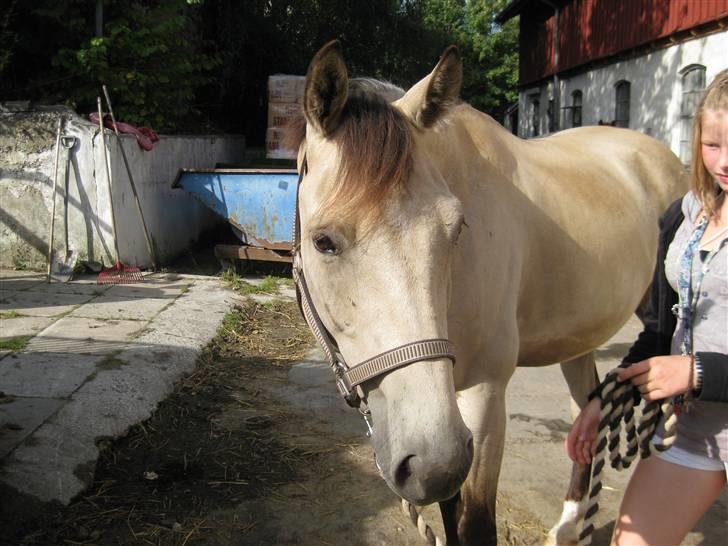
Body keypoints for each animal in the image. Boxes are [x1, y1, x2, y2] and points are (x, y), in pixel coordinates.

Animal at [286, 39, 688, 544]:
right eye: (324, 241)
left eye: (456, 229)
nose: (430, 463)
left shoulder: (484, 397)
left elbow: (475, 522)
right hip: (578, 341)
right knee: (588, 411)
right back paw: (569, 525)